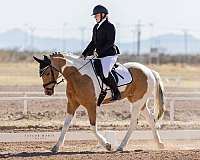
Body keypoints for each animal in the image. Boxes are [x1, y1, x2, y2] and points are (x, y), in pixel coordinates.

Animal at [33, 52, 166, 152]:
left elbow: (92, 127)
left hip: (137, 102)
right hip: (138, 101)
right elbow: (65, 125)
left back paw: (121, 146)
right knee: (151, 119)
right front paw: (56, 147)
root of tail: (149, 71)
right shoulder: (72, 104)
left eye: (47, 73)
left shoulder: (91, 105)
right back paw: (159, 144)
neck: (77, 75)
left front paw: (107, 145)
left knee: (134, 122)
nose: (48, 91)